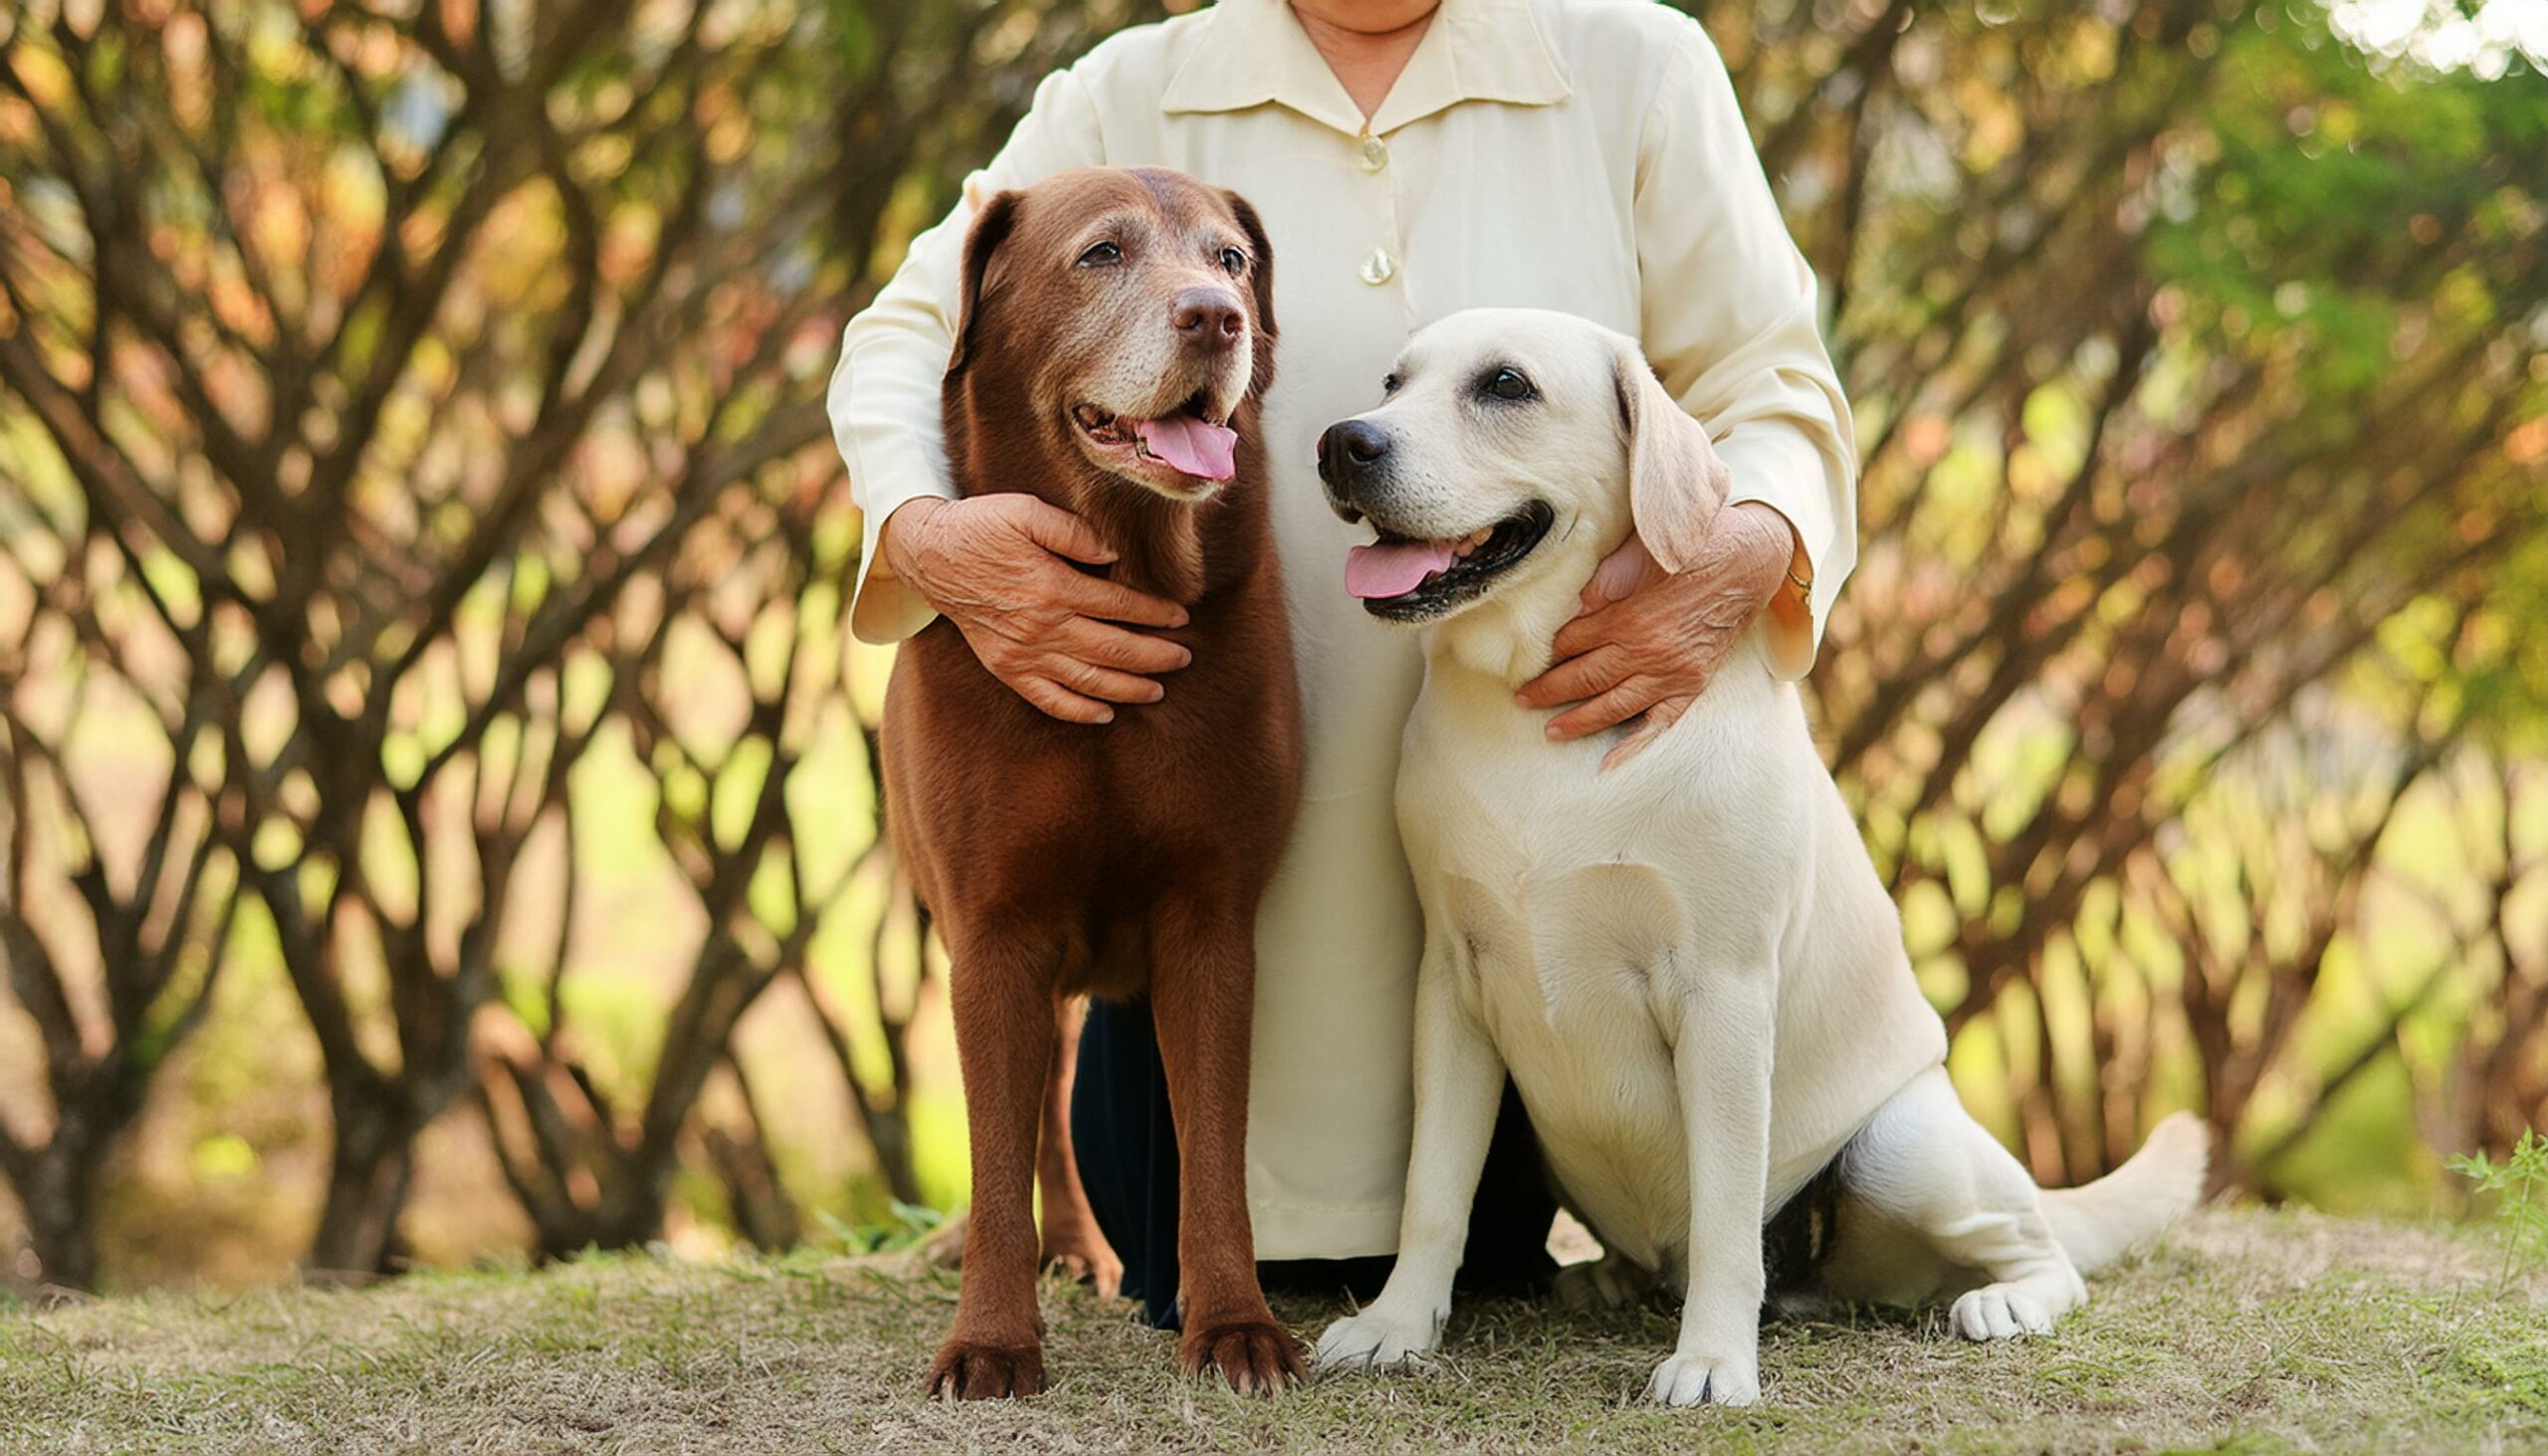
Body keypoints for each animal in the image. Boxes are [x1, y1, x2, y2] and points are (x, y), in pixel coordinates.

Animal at [886, 168, 1304, 1397]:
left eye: (1230, 258)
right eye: (1103, 254)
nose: (1215, 316)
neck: (1135, 562)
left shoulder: (1211, 918)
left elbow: (1214, 1147)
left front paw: (1236, 1326)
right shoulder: (994, 926)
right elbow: (993, 1152)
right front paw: (989, 1340)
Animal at [1304, 311, 2201, 1417]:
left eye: (1506, 385)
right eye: (1393, 381)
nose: (1344, 442)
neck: (1534, 722)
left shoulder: (1724, 992)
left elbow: (1727, 1210)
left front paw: (1714, 1359)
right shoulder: (1454, 983)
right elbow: (1434, 1185)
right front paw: (1397, 1324)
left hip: (1906, 1148)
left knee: (2045, 1251)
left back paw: (2005, 1299)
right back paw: (1607, 1279)